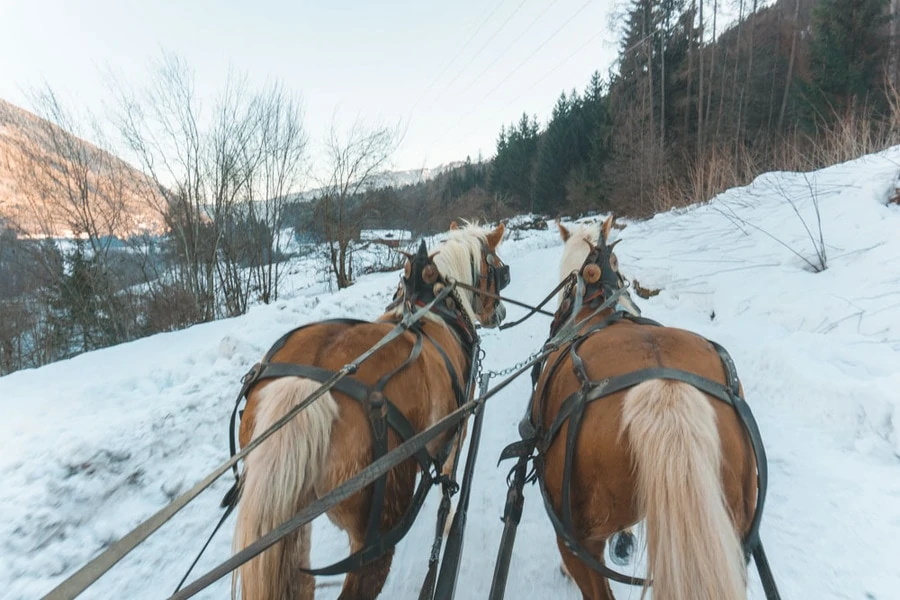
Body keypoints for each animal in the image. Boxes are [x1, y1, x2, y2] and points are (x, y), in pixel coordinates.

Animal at [229, 221, 510, 600]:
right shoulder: (459, 425)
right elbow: (449, 478)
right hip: (378, 531)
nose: (501, 314)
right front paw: (448, 515)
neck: (435, 303)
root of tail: (306, 385)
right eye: (498, 269)